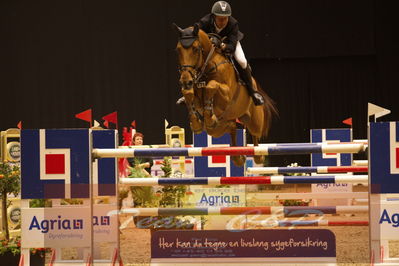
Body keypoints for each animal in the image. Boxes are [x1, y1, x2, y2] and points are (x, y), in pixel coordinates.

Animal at [175, 22, 278, 165]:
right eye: (178, 50)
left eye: (195, 49)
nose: (185, 81)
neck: (207, 65)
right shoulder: (192, 87)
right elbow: (188, 93)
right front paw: (196, 123)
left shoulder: (227, 95)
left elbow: (212, 86)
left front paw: (208, 115)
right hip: (219, 128)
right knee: (232, 128)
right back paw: (238, 156)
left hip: (254, 121)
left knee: (255, 136)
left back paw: (258, 156)